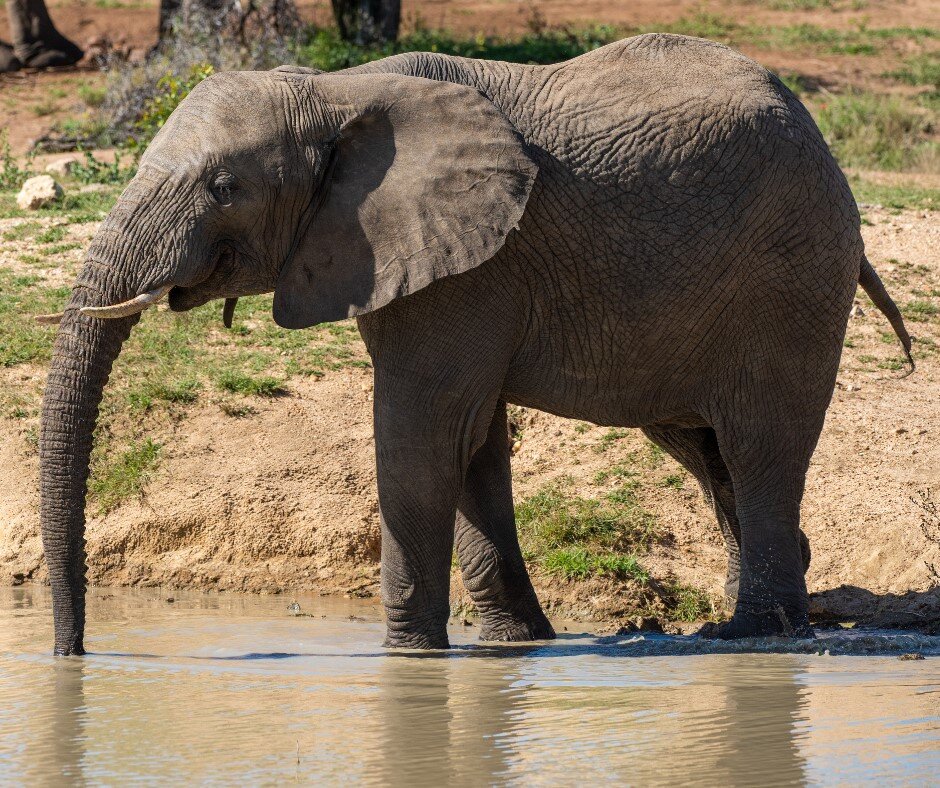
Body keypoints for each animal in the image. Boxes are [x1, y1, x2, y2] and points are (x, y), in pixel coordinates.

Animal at [36, 33, 913, 655]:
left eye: (226, 188)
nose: (72, 654)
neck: (334, 92)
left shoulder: (467, 266)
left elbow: (422, 433)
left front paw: (407, 656)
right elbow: (473, 443)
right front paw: (513, 644)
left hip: (790, 278)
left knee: (759, 445)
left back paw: (753, 633)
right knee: (706, 450)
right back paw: (760, 621)